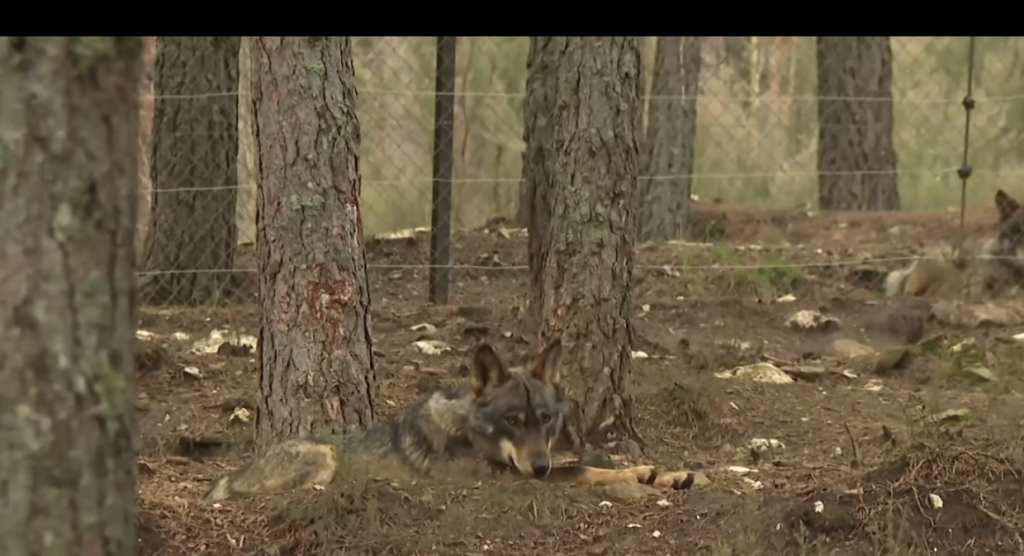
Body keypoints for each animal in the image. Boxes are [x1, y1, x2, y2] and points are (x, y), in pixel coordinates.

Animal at [205, 338, 694, 501]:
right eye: (512, 420)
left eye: (544, 419)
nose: (540, 467)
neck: (468, 431)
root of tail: (230, 475)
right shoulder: (510, 478)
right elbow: (583, 471)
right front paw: (640, 478)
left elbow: (594, 463)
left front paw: (664, 473)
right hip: (325, 455)